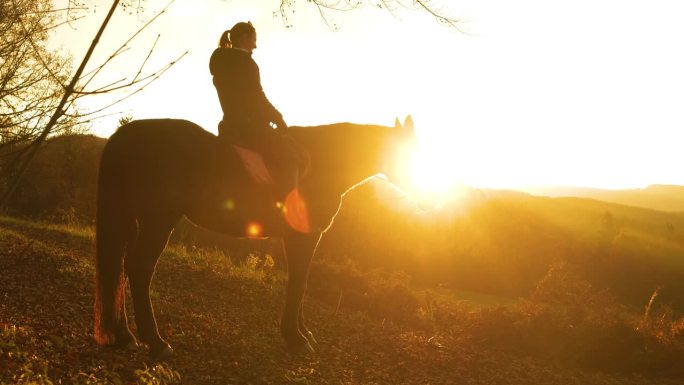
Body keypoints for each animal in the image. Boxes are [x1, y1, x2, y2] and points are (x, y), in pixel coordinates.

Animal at [95, 115, 416, 358]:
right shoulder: (302, 238)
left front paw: (303, 332)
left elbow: (301, 280)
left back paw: (124, 335)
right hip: (158, 221)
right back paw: (157, 342)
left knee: (121, 268)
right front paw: (296, 338)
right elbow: (299, 282)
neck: (322, 163)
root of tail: (126, 135)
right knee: (139, 270)